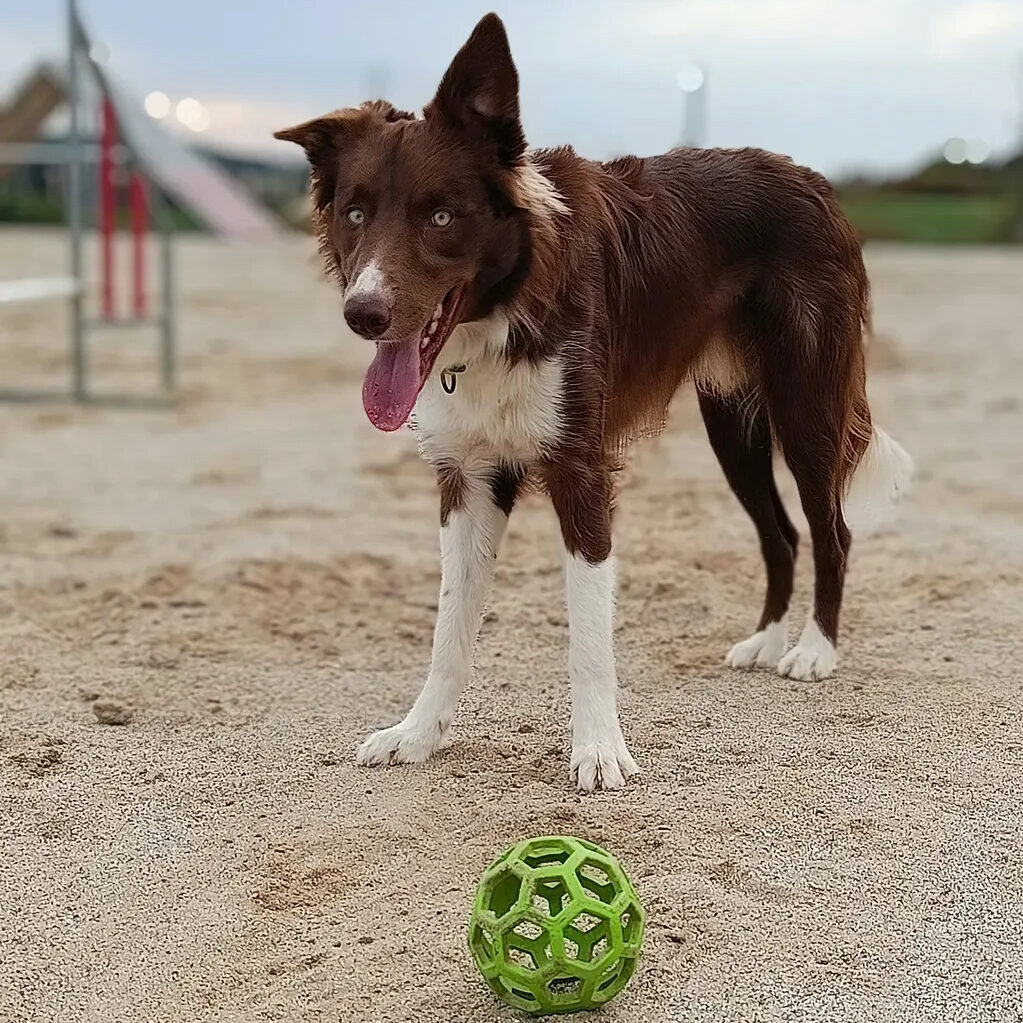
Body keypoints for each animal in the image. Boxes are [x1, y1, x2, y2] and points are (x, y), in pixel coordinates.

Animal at [275, 13, 911, 791]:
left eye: (441, 217)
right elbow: (449, 629)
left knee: (830, 531)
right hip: (732, 426)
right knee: (780, 534)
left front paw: (599, 751)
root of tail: (811, 178)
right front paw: (420, 734)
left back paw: (814, 649)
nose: (363, 314)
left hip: (805, 406)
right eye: (356, 212)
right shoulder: (467, 478)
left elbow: (586, 636)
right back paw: (763, 641)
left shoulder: (580, 470)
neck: (507, 309)